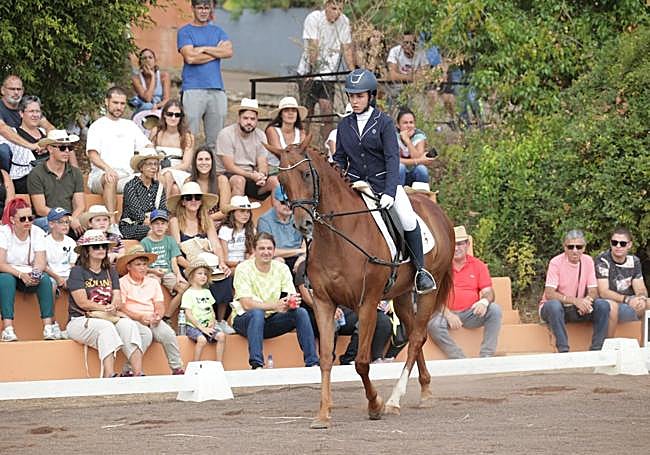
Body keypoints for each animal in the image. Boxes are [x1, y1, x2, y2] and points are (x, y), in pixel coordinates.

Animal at [270, 139, 454, 429]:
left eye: (307, 174)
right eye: (281, 180)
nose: (303, 224)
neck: (337, 236)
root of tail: (436, 209)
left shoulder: (367, 302)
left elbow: (361, 362)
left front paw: (375, 405)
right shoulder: (323, 303)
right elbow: (325, 359)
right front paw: (323, 414)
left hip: (427, 291)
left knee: (416, 337)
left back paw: (394, 401)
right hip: (402, 294)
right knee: (416, 334)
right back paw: (424, 391)